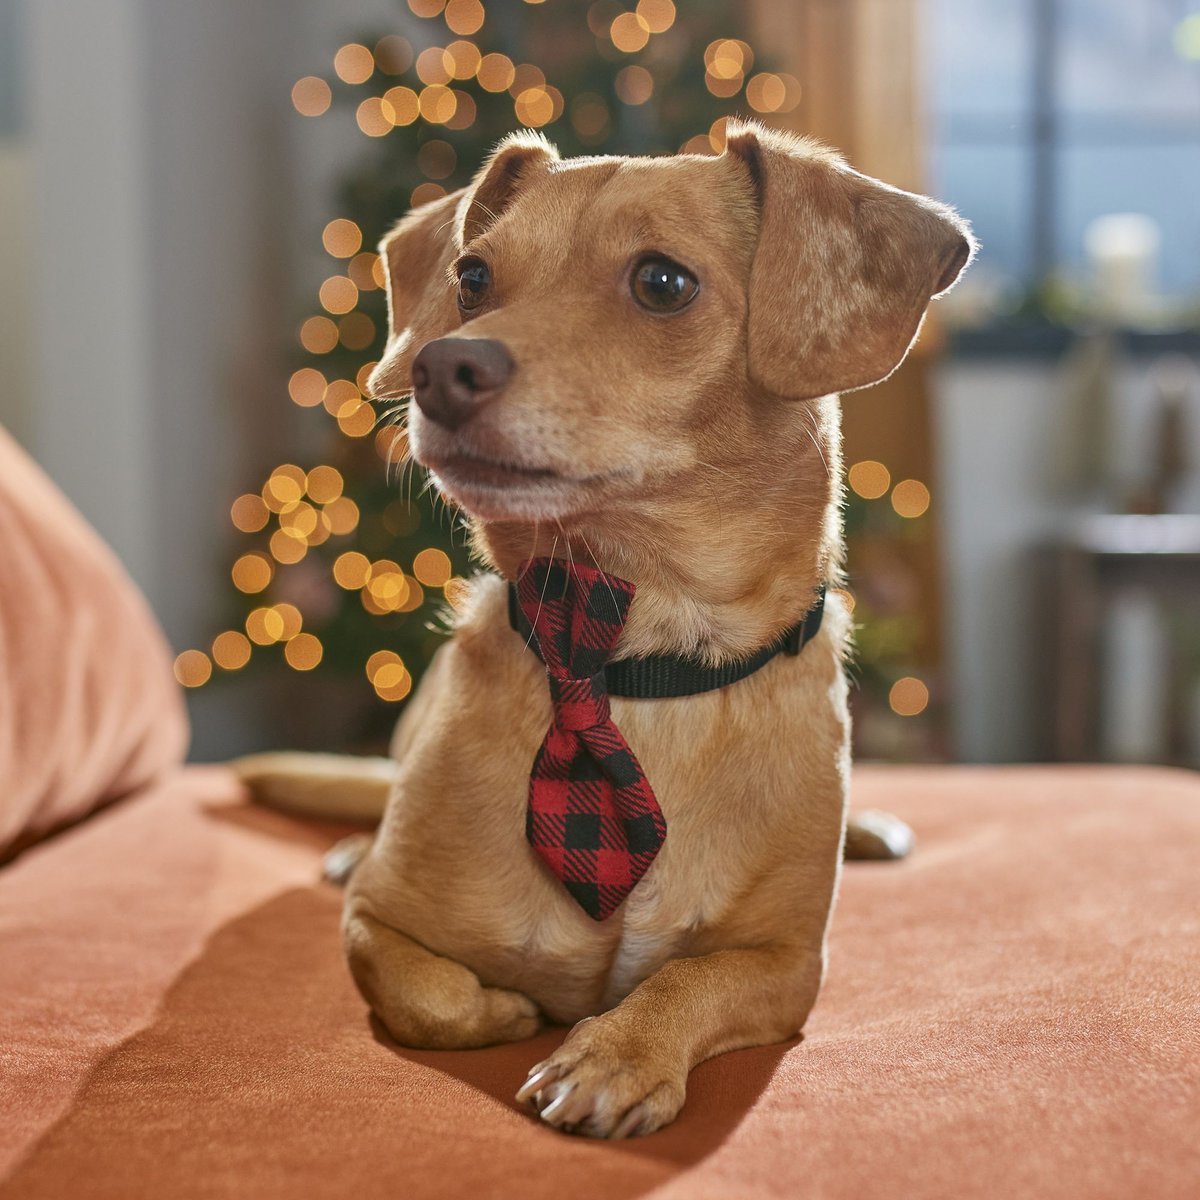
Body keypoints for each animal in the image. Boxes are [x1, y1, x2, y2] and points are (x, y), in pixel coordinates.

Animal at [236, 121, 974, 1142]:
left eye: (662, 282)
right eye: (472, 278)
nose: (440, 369)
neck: (627, 657)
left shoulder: (789, 965)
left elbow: (690, 980)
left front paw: (620, 1053)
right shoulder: (376, 927)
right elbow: (426, 994)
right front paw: (507, 1009)